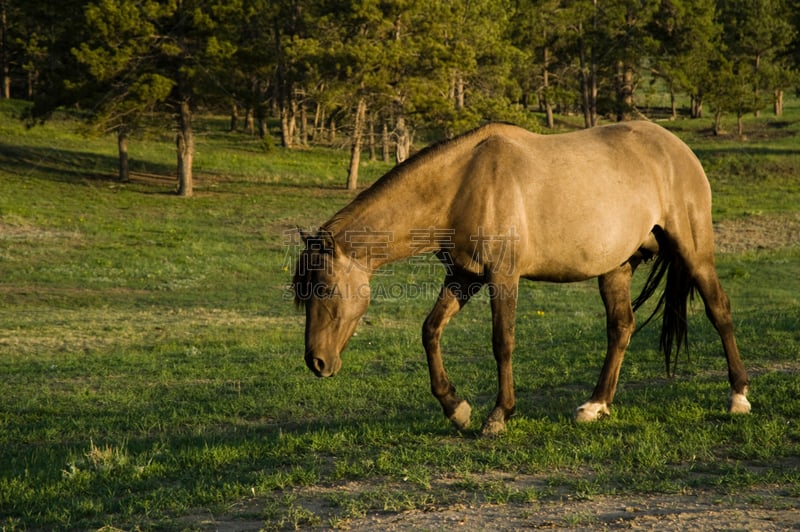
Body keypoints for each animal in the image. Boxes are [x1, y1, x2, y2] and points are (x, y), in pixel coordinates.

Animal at [292, 121, 752, 436]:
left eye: (325, 288)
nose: (317, 362)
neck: (464, 183)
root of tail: (677, 148)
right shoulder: (464, 276)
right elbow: (430, 330)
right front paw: (456, 408)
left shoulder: (503, 276)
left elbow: (503, 341)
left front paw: (498, 415)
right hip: (616, 268)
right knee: (621, 327)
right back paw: (595, 405)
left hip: (694, 252)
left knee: (719, 309)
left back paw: (739, 396)